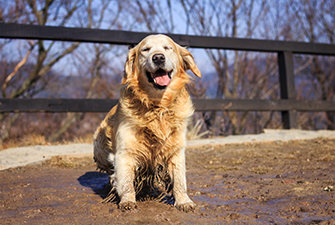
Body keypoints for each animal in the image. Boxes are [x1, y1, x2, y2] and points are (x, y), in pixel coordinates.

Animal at [93, 33, 201, 211]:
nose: (158, 57)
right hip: (100, 148)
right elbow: (125, 181)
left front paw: (184, 201)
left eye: (167, 48)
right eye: (145, 49)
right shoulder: (124, 152)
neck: (157, 105)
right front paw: (127, 201)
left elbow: (179, 179)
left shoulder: (176, 150)